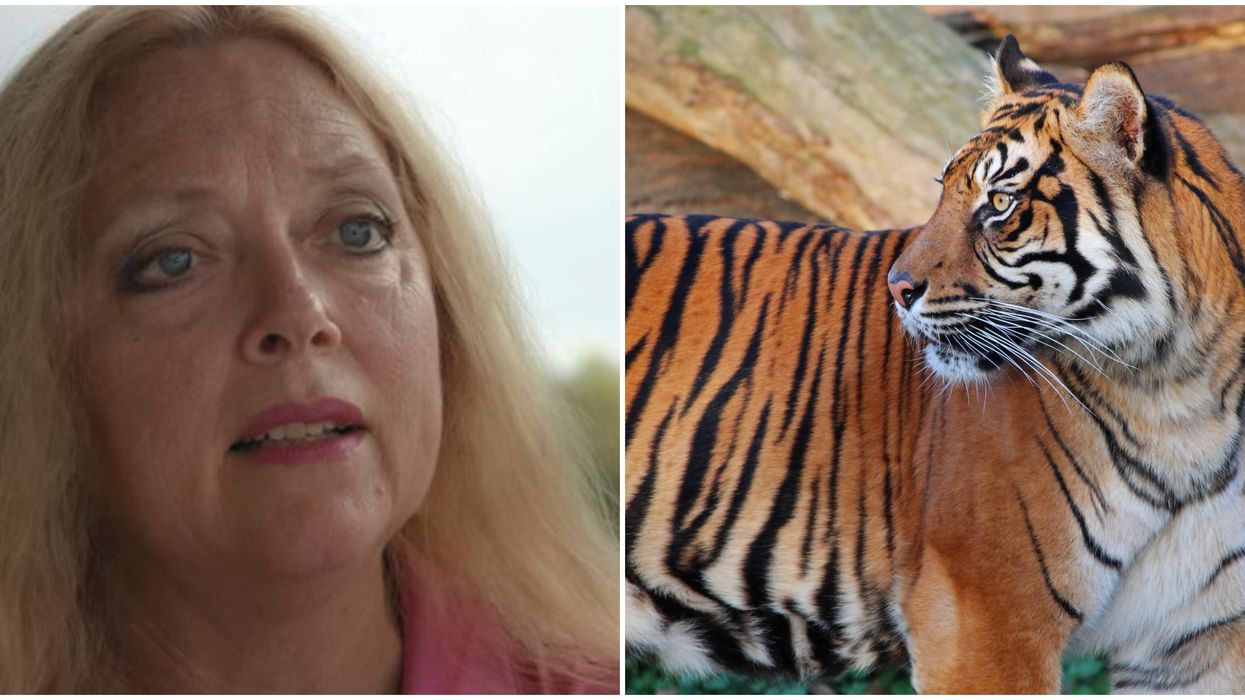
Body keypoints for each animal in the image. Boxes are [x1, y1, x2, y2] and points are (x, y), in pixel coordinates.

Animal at [624, 35, 1245, 693]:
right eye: (943, 190)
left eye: (999, 202)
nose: (896, 288)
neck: (1180, 392)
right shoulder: (986, 616)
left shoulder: (1199, 642)